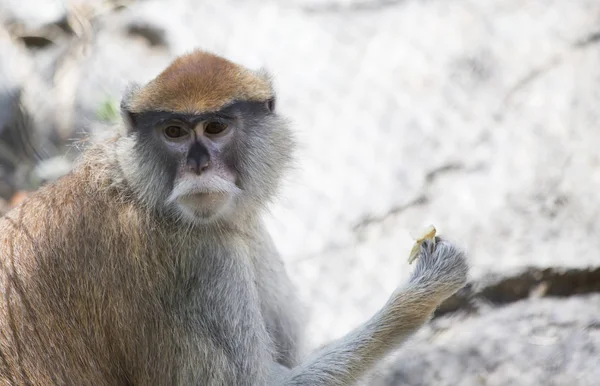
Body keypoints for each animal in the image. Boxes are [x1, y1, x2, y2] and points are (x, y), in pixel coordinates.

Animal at [0, 51, 468, 386]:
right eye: (174, 131)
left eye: (215, 127)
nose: (199, 166)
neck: (137, 188)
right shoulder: (202, 264)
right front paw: (421, 293)